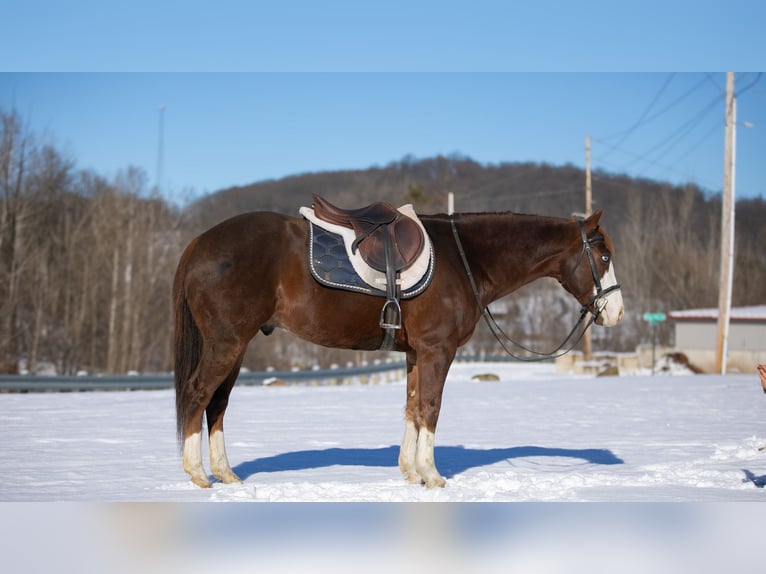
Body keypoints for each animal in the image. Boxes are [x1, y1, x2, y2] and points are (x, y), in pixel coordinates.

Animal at [172, 209, 624, 488]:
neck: (465, 259)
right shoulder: (437, 349)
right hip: (227, 343)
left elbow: (411, 406)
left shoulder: (414, 353)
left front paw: (410, 471)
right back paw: (197, 474)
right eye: (603, 256)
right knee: (198, 394)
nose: (616, 312)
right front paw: (432, 475)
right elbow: (431, 407)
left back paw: (226, 474)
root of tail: (199, 242)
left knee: (217, 403)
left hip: (236, 347)